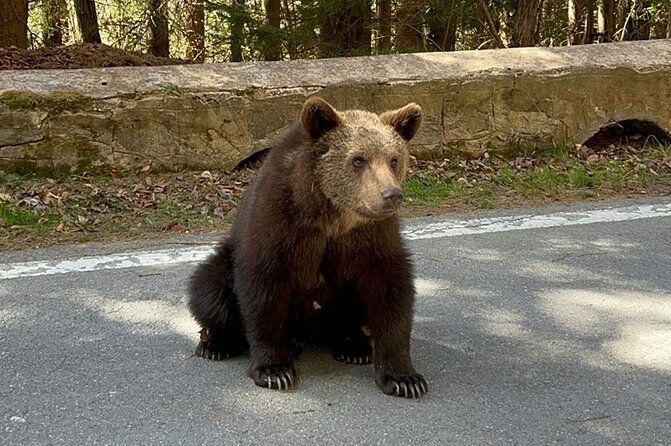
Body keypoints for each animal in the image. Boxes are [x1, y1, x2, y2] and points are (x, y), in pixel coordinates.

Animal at [187, 96, 427, 398]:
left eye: (394, 159)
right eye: (358, 160)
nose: (391, 195)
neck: (333, 215)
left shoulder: (372, 237)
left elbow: (390, 290)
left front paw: (405, 378)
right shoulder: (280, 224)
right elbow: (262, 288)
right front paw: (274, 371)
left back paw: (353, 346)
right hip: (225, 262)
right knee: (209, 286)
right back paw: (216, 344)